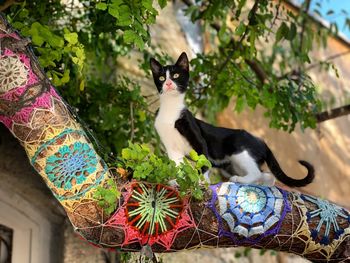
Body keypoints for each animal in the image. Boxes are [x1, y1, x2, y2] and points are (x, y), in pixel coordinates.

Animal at [149, 52, 316, 188]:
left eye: (176, 76)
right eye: (162, 78)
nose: (168, 83)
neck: (170, 110)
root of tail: (261, 142)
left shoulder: (198, 139)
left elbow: (203, 161)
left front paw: (201, 182)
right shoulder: (172, 149)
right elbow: (177, 166)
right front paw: (176, 181)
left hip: (239, 151)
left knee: (256, 172)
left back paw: (239, 180)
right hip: (231, 165)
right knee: (268, 176)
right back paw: (262, 184)